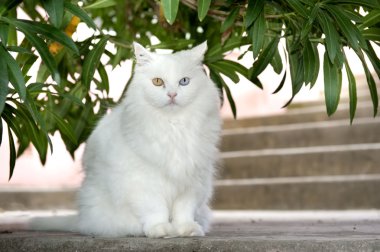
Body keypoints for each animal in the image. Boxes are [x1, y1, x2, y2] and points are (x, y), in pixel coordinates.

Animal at [30, 41, 223, 238]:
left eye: (184, 81)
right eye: (158, 82)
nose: (172, 95)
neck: (173, 126)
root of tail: (81, 219)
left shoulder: (193, 182)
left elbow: (183, 211)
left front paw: (187, 229)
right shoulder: (145, 182)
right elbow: (156, 210)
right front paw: (161, 230)